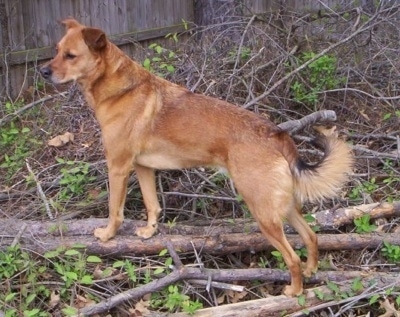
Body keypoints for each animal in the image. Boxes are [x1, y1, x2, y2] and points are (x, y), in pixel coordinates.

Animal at [41, 18, 354, 296]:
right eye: (56, 50)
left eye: (70, 55)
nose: (43, 71)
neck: (120, 88)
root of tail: (277, 133)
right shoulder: (142, 167)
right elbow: (152, 205)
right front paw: (150, 232)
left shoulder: (118, 167)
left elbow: (114, 211)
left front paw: (108, 235)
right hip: (282, 206)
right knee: (311, 236)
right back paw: (312, 270)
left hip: (263, 212)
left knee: (292, 257)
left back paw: (294, 291)